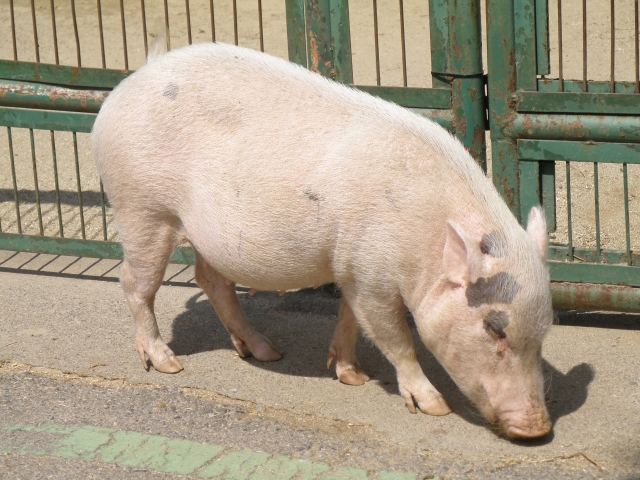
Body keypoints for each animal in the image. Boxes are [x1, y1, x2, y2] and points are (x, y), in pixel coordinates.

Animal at [92, 42, 554, 439]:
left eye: (545, 330)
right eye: (494, 329)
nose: (537, 429)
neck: (425, 239)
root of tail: (128, 85)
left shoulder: (351, 267)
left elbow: (351, 318)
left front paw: (353, 377)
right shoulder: (371, 273)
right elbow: (394, 337)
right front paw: (434, 407)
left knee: (212, 280)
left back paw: (266, 353)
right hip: (141, 207)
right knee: (135, 283)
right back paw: (167, 365)